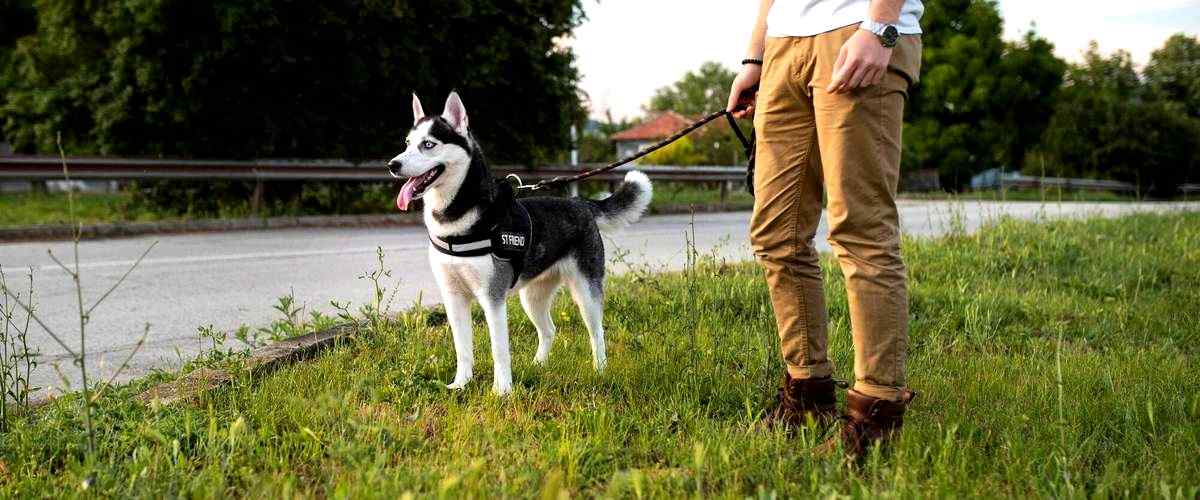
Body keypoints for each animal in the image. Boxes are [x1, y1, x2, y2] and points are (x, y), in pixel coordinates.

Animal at [388, 90, 652, 393]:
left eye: (428, 144)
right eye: (407, 144)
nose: (392, 165)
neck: (456, 219)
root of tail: (580, 203)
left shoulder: (492, 298)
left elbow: (499, 350)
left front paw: (502, 391)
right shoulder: (453, 297)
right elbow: (462, 349)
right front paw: (461, 384)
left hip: (586, 293)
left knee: (596, 332)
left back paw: (600, 370)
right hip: (532, 297)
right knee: (549, 330)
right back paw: (538, 365)